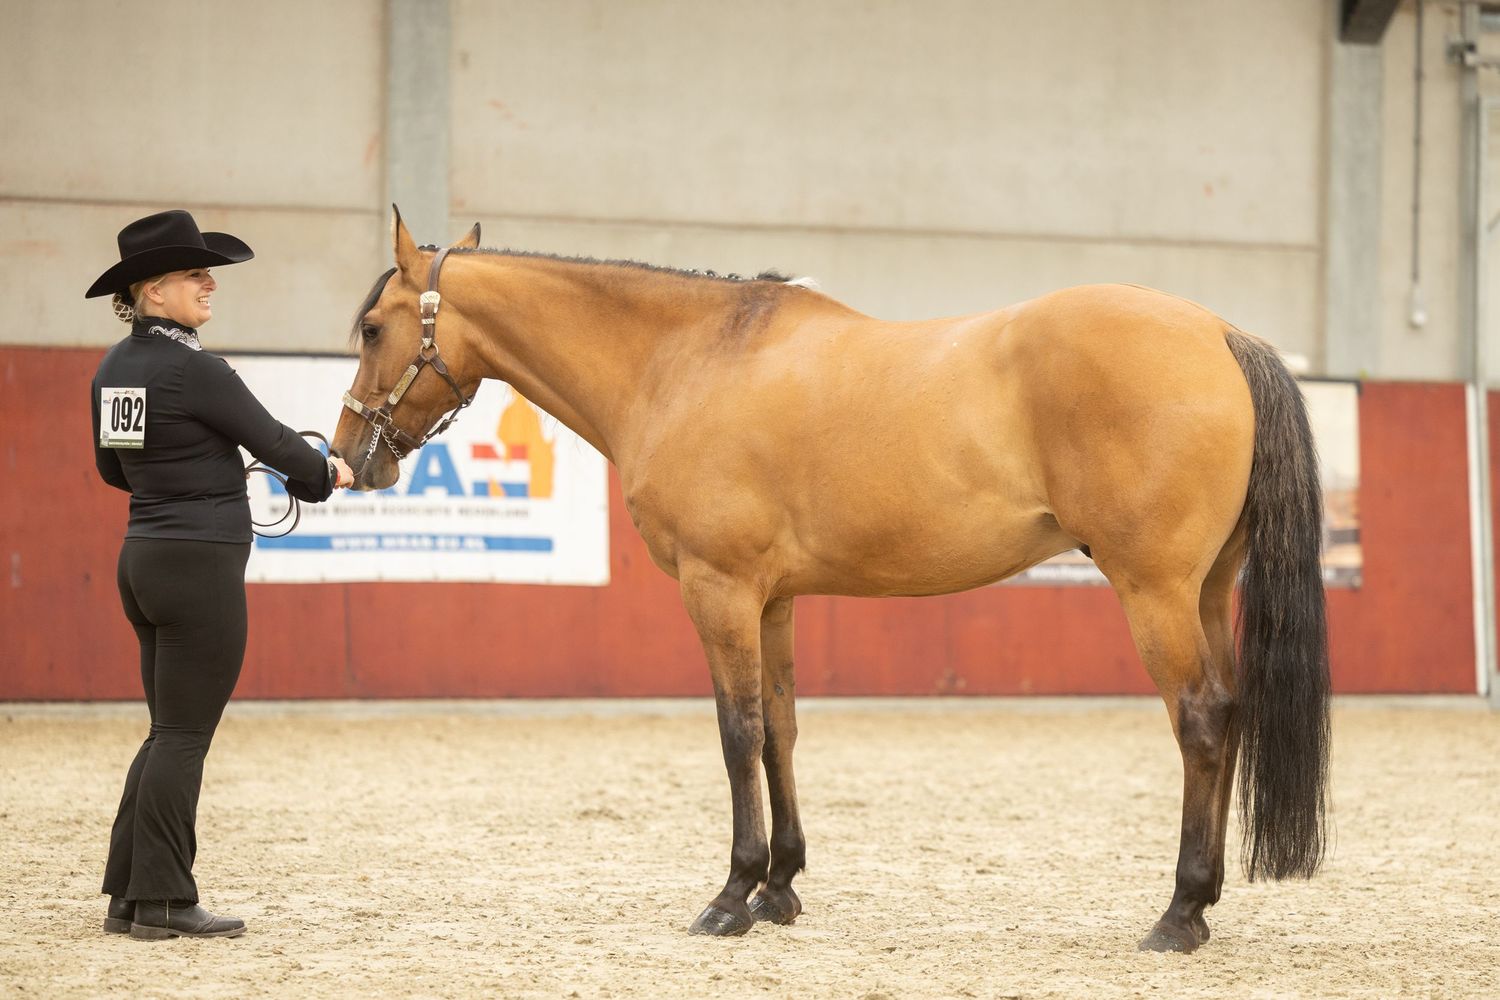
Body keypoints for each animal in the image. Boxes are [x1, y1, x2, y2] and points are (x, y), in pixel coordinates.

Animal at [331, 209, 1330, 953]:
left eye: (374, 329)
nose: (350, 457)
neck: (689, 360)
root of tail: (1220, 333)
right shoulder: (773, 600)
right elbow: (780, 731)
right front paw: (780, 887)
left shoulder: (720, 590)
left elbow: (736, 733)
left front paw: (731, 895)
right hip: (1206, 590)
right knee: (1229, 712)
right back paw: (1201, 903)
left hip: (1153, 590)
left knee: (1199, 720)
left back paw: (1179, 913)